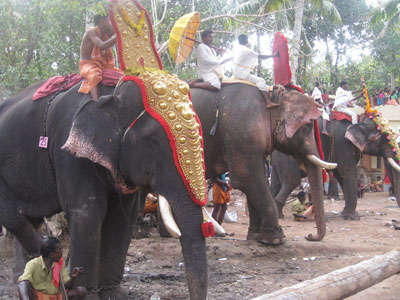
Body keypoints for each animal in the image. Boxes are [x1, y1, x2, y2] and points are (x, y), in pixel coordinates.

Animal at [191, 82, 338, 244]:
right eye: (308, 126)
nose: (310, 236)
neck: (273, 98)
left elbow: (254, 182)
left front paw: (255, 237)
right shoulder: (242, 132)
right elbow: (246, 179)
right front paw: (276, 240)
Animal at [272, 113, 400, 219]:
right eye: (384, 138)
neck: (359, 123)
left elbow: (340, 175)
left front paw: (345, 213)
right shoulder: (343, 145)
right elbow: (347, 172)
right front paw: (353, 217)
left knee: (276, 183)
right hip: (288, 156)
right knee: (292, 181)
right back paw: (279, 215)